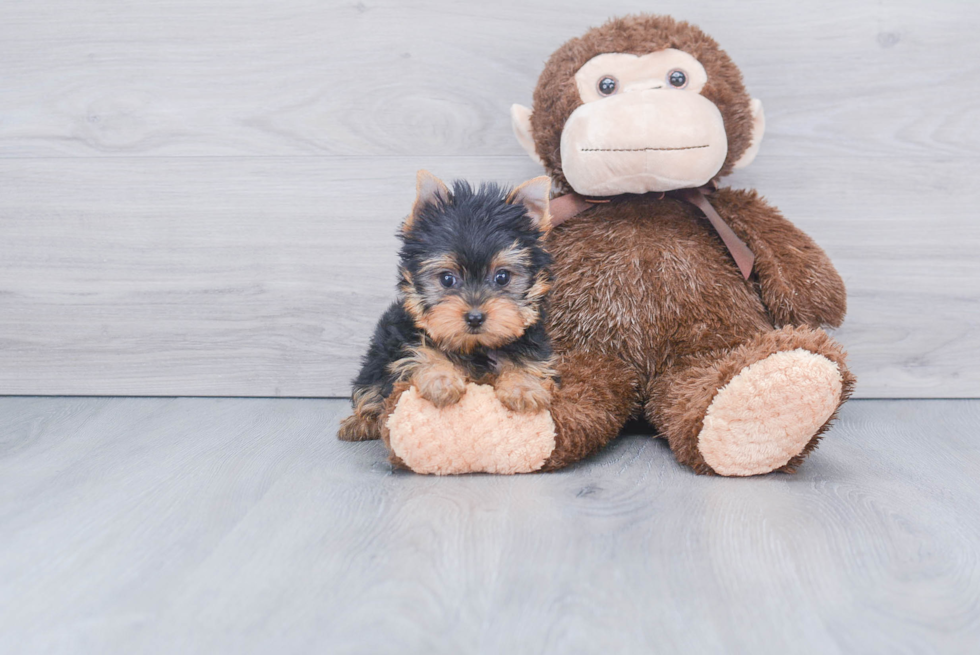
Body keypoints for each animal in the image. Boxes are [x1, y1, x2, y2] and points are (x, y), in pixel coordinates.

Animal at [336, 172, 556, 444]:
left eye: (502, 277)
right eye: (447, 279)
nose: (475, 317)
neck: (475, 347)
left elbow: (526, 361)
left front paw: (523, 387)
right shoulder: (406, 338)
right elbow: (423, 353)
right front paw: (441, 380)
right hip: (377, 357)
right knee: (370, 385)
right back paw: (361, 421)